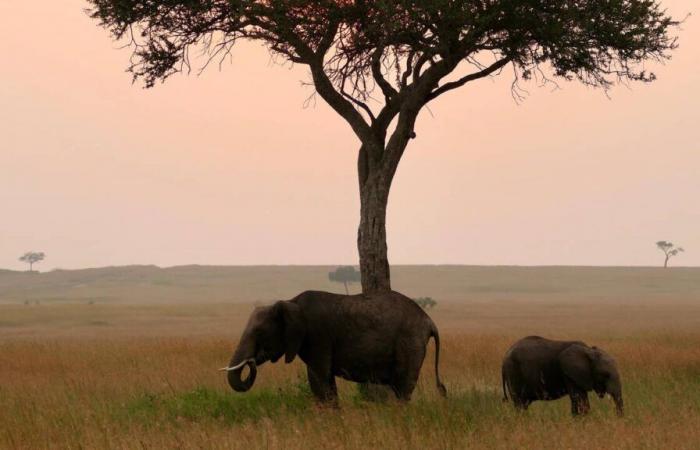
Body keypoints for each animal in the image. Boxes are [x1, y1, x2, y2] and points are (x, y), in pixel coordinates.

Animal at [220, 290, 448, 402]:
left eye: (259, 333)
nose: (252, 360)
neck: (290, 302)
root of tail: (429, 321)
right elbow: (326, 380)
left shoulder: (317, 336)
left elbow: (318, 379)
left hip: (409, 341)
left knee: (402, 386)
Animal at [500, 336, 628, 416]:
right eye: (605, 375)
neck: (588, 351)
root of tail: (504, 357)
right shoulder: (569, 373)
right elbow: (579, 400)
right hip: (514, 373)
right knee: (520, 403)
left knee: (523, 404)